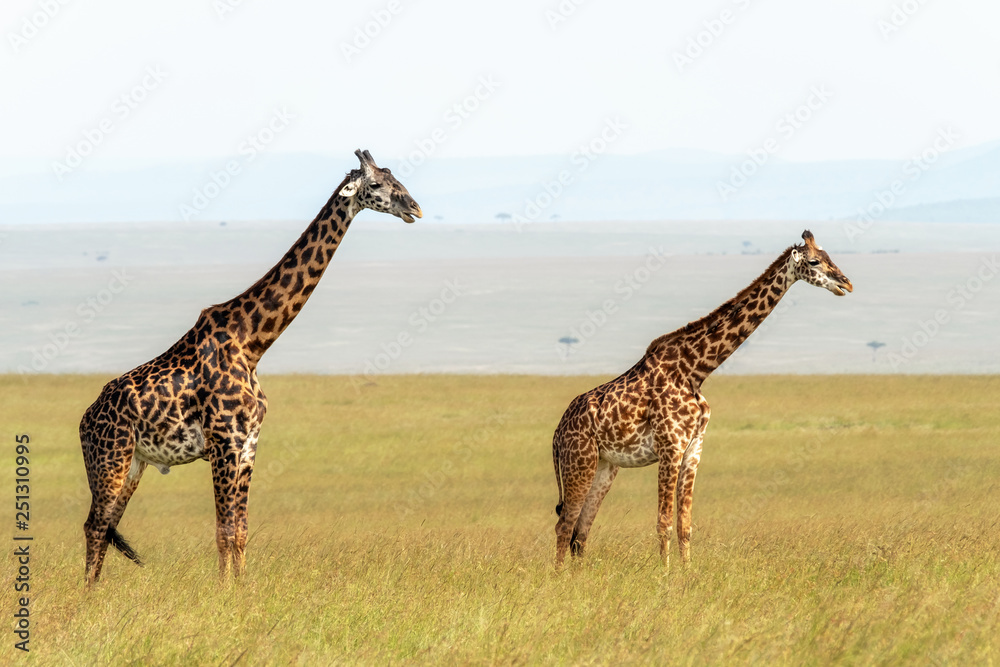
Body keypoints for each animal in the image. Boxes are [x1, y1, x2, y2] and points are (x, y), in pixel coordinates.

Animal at [80, 149, 421, 585]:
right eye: (376, 184)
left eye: (395, 177)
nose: (415, 208)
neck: (253, 343)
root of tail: (85, 420)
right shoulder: (224, 441)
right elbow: (224, 531)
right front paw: (224, 591)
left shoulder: (248, 444)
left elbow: (240, 531)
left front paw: (240, 590)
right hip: (110, 458)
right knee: (95, 525)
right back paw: (88, 594)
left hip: (134, 464)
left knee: (106, 525)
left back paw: (94, 590)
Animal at [551, 230, 852, 567]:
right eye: (814, 261)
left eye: (829, 256)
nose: (846, 283)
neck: (695, 370)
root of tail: (557, 433)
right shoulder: (670, 448)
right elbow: (663, 522)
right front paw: (665, 574)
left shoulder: (694, 449)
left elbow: (685, 525)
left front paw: (687, 572)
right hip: (579, 460)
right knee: (565, 525)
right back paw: (559, 577)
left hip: (605, 466)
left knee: (581, 531)